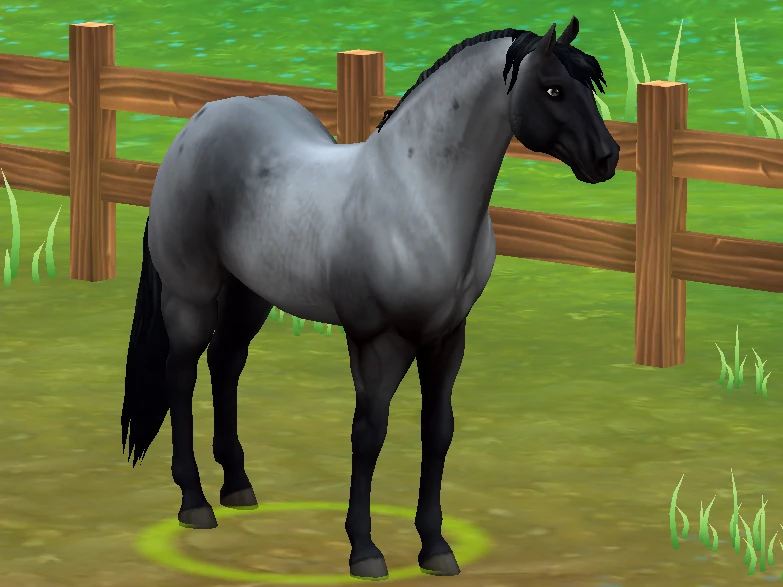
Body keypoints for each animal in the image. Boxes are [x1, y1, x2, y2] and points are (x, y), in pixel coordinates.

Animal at [122, 16, 619, 579]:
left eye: (589, 87)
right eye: (554, 88)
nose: (607, 158)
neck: (419, 198)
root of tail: (198, 123)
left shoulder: (447, 340)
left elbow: (438, 431)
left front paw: (435, 548)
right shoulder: (376, 342)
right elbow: (369, 434)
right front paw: (365, 551)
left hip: (250, 294)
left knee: (225, 365)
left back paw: (239, 488)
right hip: (192, 295)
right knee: (181, 375)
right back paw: (195, 503)